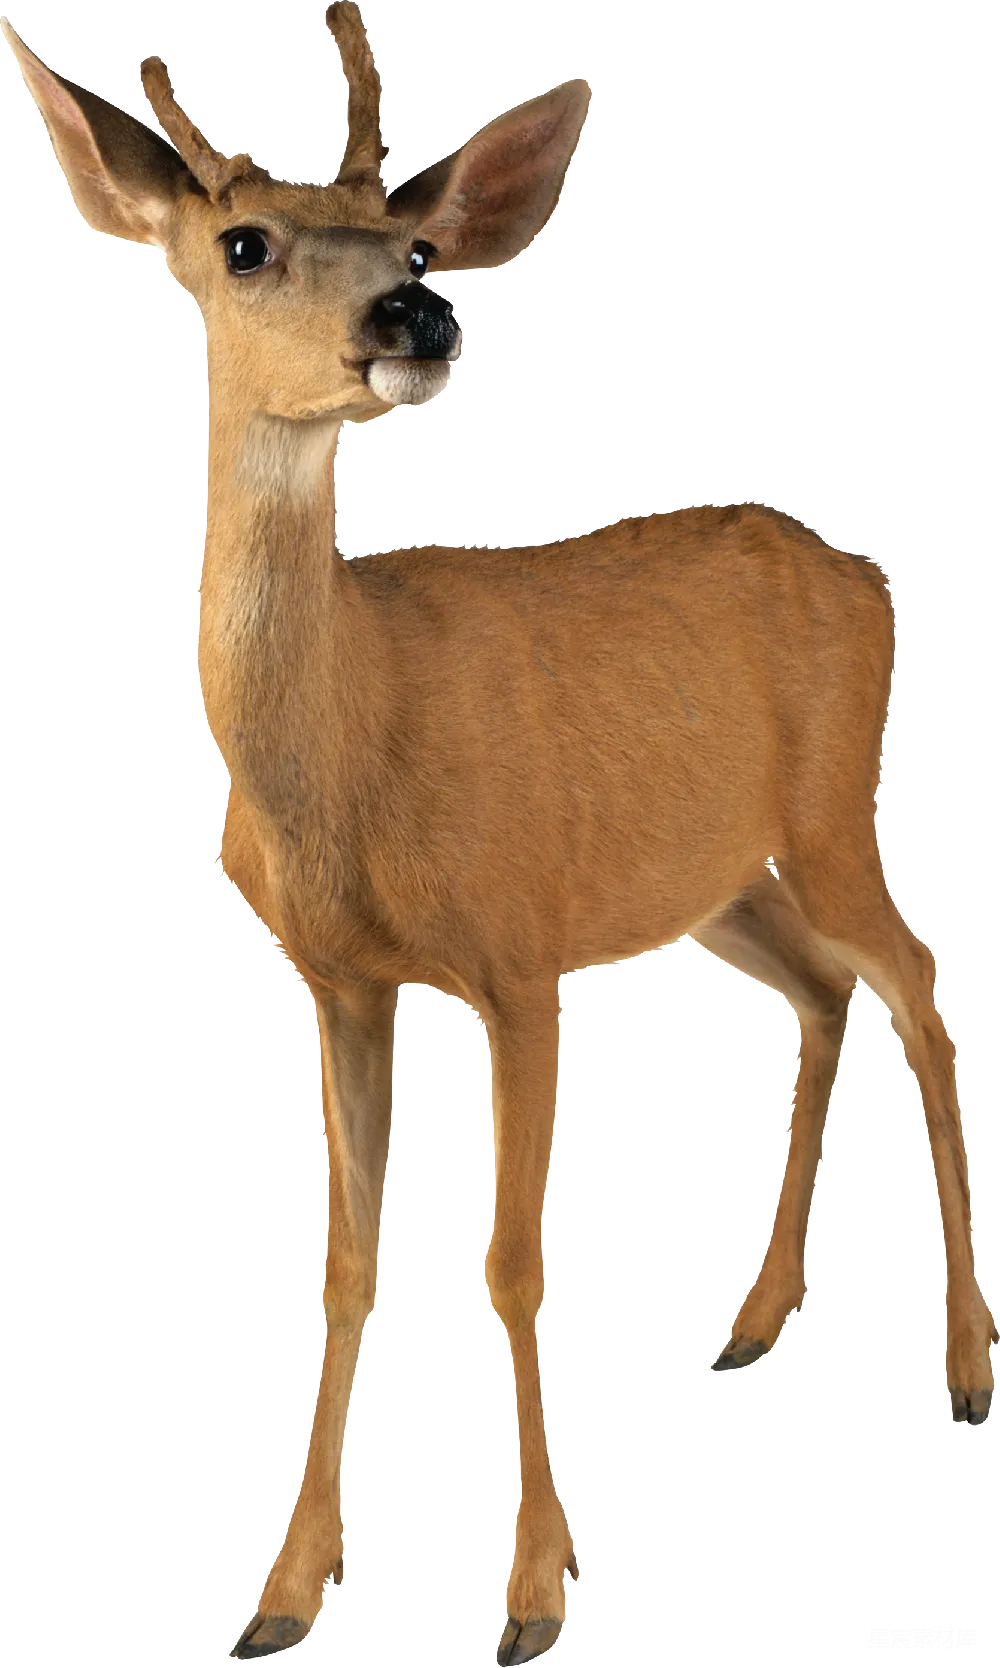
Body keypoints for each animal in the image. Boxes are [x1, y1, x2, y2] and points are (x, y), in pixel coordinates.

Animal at [4, 2, 994, 1660]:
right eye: (247, 243)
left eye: (414, 239)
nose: (418, 313)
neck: (347, 756)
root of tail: (865, 572)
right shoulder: (339, 979)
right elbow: (347, 1259)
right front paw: (284, 1593)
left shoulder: (520, 956)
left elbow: (512, 1255)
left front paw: (536, 1589)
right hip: (718, 882)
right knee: (827, 991)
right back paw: (753, 1321)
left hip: (831, 812)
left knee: (918, 981)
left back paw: (970, 1365)